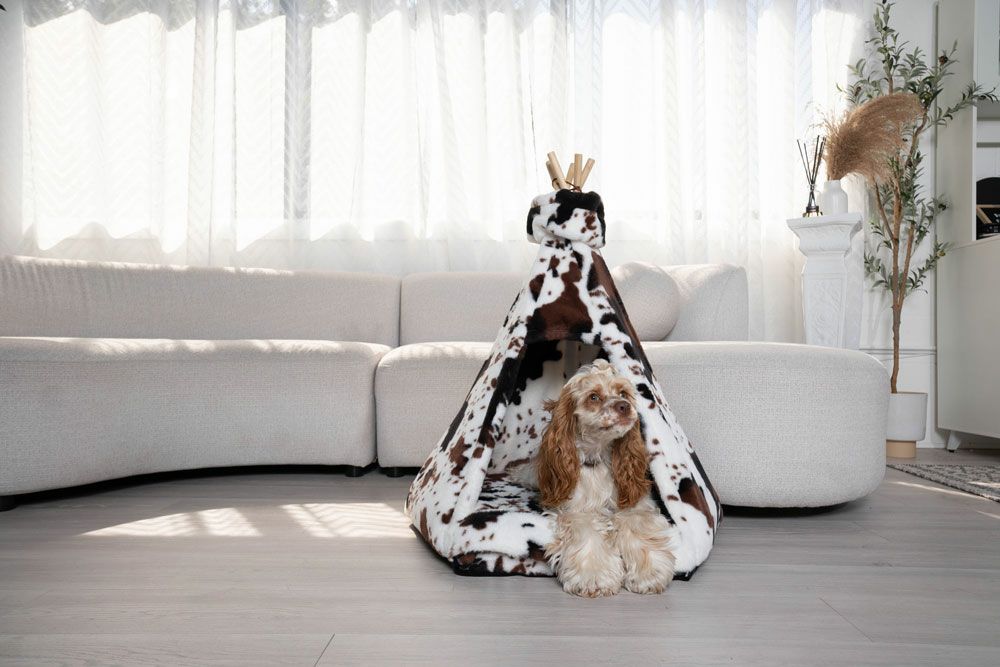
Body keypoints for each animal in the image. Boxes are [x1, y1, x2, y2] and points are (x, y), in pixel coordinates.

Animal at [514, 359, 677, 597]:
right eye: (593, 397)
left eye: (623, 393)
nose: (624, 406)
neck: (597, 457)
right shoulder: (577, 511)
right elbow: (589, 534)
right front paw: (594, 578)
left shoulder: (635, 504)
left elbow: (636, 528)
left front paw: (649, 575)